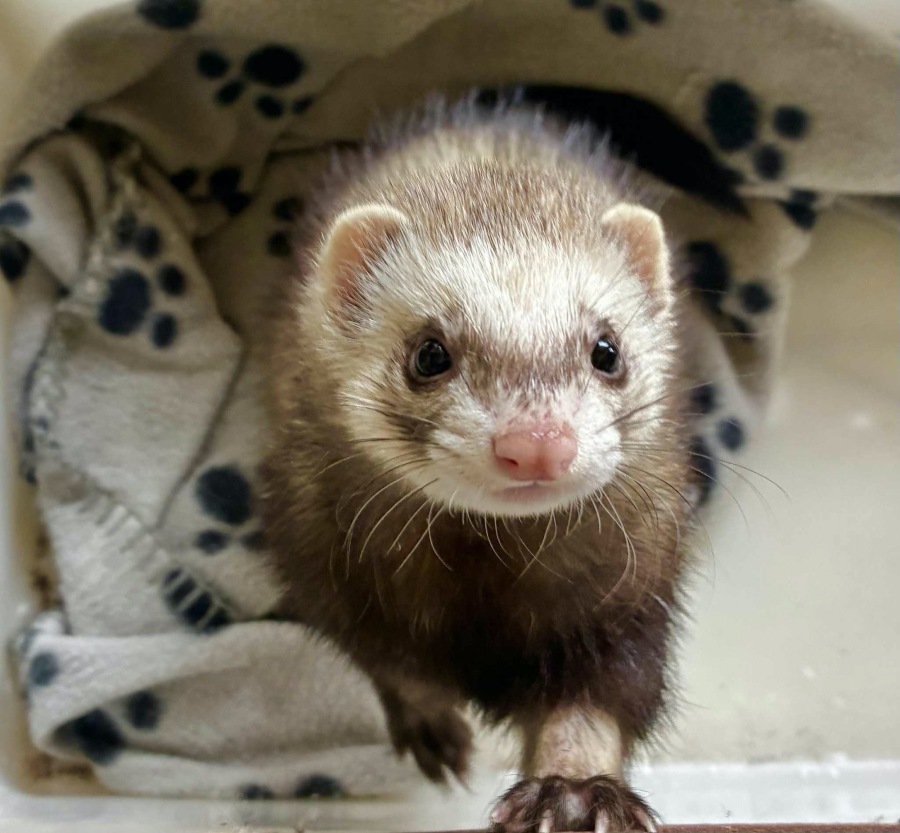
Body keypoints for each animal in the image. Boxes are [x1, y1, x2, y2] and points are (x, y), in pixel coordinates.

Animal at [261, 96, 697, 831]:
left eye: (607, 348)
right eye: (428, 352)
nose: (538, 440)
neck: (482, 588)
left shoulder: (628, 596)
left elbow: (600, 696)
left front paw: (572, 792)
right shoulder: (329, 568)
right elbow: (391, 662)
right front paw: (432, 725)